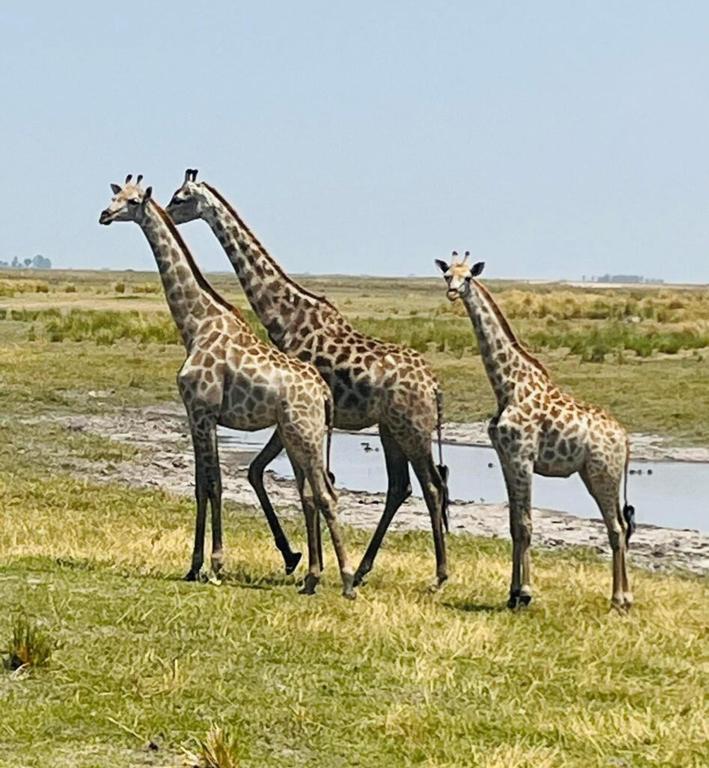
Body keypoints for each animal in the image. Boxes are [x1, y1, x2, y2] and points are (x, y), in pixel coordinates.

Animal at [99, 175, 356, 598]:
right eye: (114, 195)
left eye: (133, 201)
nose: (104, 214)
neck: (194, 324)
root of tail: (323, 392)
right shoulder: (195, 415)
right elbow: (200, 485)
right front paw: (193, 565)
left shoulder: (204, 411)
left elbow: (216, 484)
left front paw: (216, 565)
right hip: (296, 435)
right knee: (313, 495)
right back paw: (312, 578)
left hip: (304, 434)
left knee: (326, 495)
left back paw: (348, 580)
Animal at [166, 169, 449, 588]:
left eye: (181, 198)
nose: (167, 214)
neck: (286, 316)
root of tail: (434, 385)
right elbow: (263, 473)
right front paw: (298, 558)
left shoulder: (293, 417)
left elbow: (295, 481)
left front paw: (301, 560)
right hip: (389, 429)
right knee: (401, 487)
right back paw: (362, 570)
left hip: (412, 429)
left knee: (431, 485)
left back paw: (439, 574)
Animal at [436, 252, 636, 610]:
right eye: (447, 275)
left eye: (468, 277)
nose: (453, 292)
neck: (507, 386)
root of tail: (625, 439)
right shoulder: (506, 458)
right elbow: (515, 525)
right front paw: (512, 593)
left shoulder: (522, 457)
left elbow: (527, 523)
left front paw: (526, 593)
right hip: (594, 474)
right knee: (621, 526)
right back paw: (624, 597)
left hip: (604, 474)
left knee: (616, 527)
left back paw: (619, 599)